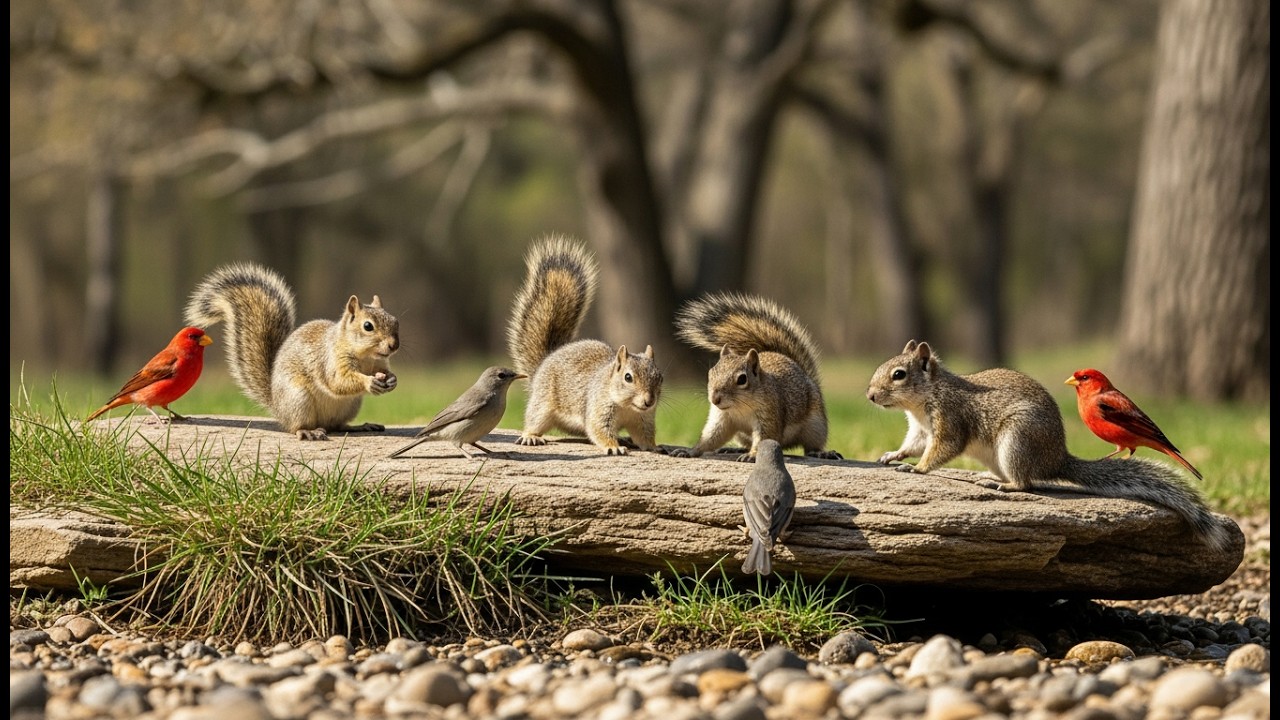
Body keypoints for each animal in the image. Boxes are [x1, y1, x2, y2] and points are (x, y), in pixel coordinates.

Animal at [184, 262, 400, 440]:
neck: (366, 356)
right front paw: (369, 382)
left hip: (350, 405)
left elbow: (383, 372)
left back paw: (359, 426)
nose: (394, 345)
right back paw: (308, 431)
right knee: (297, 426)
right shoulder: (330, 360)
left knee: (337, 426)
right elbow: (338, 381)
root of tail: (277, 407)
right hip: (298, 399)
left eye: (395, 321)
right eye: (367, 326)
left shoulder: (379, 363)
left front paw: (392, 379)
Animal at [506, 234, 664, 456]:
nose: (649, 401)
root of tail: (545, 362)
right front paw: (613, 447)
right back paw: (531, 436)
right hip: (543, 404)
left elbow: (644, 436)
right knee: (534, 420)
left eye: (660, 377)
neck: (627, 406)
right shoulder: (598, 409)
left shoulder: (643, 419)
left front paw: (654, 447)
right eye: (628, 377)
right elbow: (599, 430)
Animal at [671, 292, 841, 461]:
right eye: (711, 373)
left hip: (815, 426)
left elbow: (763, 437)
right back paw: (734, 449)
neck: (739, 407)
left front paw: (752, 455)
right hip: (741, 435)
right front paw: (689, 451)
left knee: (811, 446)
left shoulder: (768, 413)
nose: (715, 399)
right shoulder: (722, 419)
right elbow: (710, 438)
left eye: (742, 379)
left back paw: (821, 453)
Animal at [866, 340, 1230, 550]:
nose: (870, 396)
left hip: (1016, 442)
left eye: (898, 374)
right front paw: (894, 455)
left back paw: (1005, 485)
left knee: (1027, 482)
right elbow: (914, 444)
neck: (923, 399)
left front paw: (918, 468)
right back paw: (991, 478)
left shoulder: (951, 421)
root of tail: (1056, 460)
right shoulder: (920, 430)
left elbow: (941, 450)